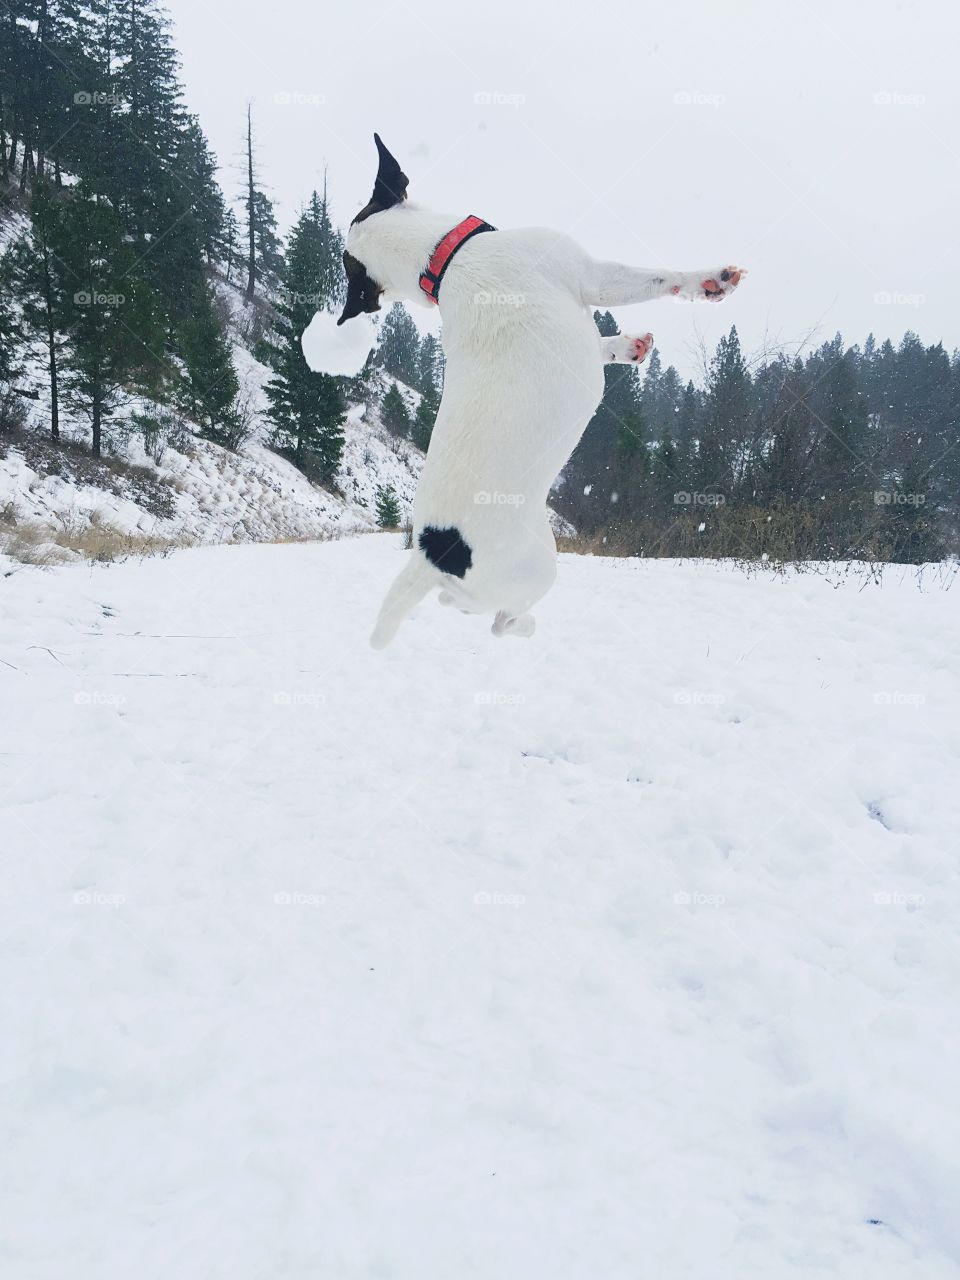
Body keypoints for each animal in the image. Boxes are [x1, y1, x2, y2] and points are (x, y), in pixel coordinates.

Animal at [343, 137, 747, 650]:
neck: (446, 259)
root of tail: (432, 554)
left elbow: (599, 344)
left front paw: (627, 347)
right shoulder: (594, 276)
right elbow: (659, 277)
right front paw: (712, 280)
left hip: (488, 579)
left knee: (460, 605)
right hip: (540, 565)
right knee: (500, 623)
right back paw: (528, 626)